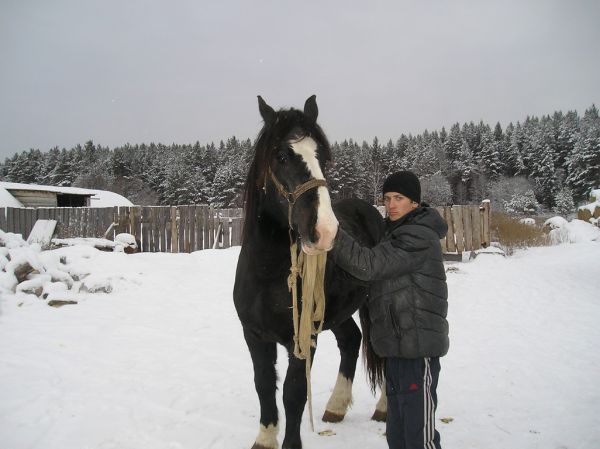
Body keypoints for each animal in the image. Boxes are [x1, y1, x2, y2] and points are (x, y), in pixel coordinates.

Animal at [233, 95, 384, 448]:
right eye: (281, 155)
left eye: (323, 158)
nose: (326, 231)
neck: (267, 275)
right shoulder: (254, 335)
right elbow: (264, 386)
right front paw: (265, 438)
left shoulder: (303, 339)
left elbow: (293, 394)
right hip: (336, 313)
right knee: (352, 340)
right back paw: (336, 407)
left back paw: (383, 408)